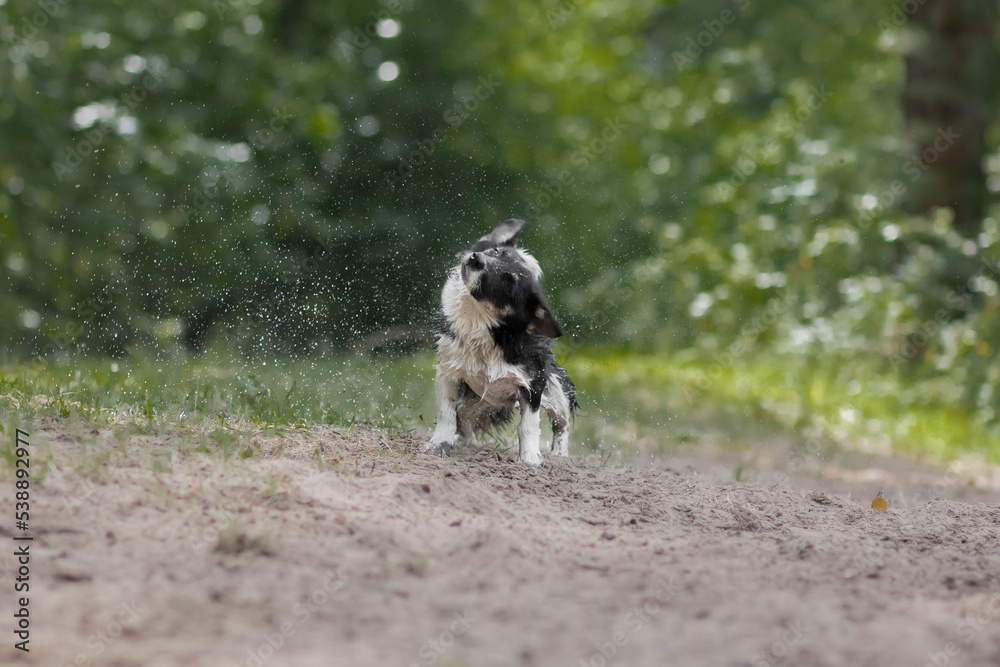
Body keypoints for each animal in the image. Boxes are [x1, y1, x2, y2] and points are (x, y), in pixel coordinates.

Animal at [422, 218, 580, 464]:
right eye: (496, 251)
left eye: (508, 281)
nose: (475, 259)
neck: (480, 322)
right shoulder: (449, 372)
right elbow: (446, 413)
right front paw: (439, 444)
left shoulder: (534, 383)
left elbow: (528, 426)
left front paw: (531, 459)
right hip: (472, 402)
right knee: (463, 422)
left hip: (557, 388)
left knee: (561, 424)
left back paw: (560, 454)